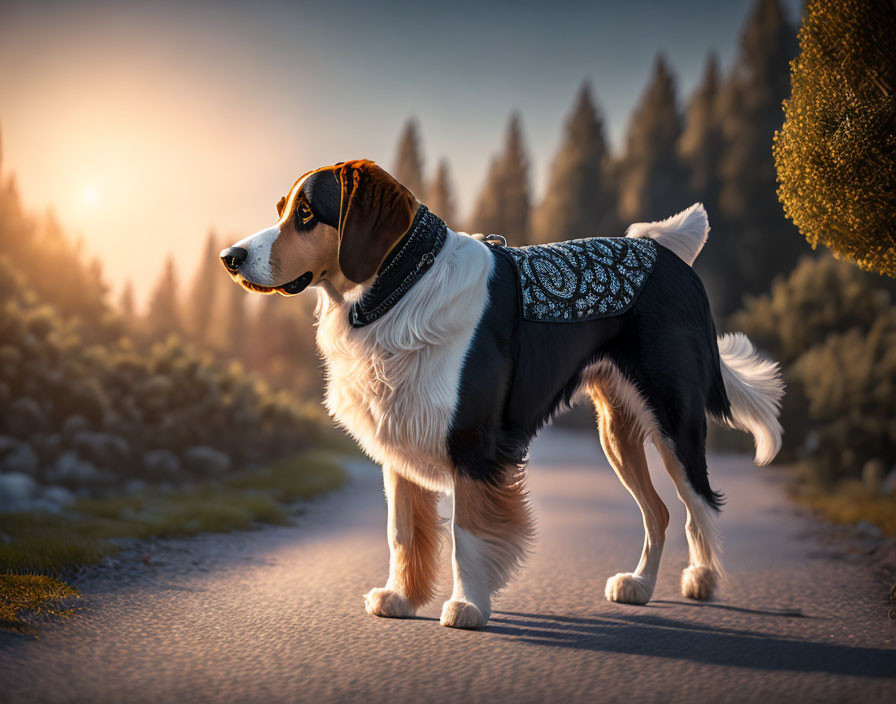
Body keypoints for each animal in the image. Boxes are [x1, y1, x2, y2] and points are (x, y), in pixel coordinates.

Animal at [220, 158, 780, 628]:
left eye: (307, 214)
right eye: (282, 209)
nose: (230, 257)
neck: (401, 287)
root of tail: (665, 249)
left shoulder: (474, 443)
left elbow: (465, 533)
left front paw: (467, 606)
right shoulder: (402, 434)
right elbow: (401, 531)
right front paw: (400, 597)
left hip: (673, 416)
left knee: (699, 503)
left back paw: (702, 579)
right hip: (617, 428)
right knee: (659, 511)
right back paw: (639, 585)